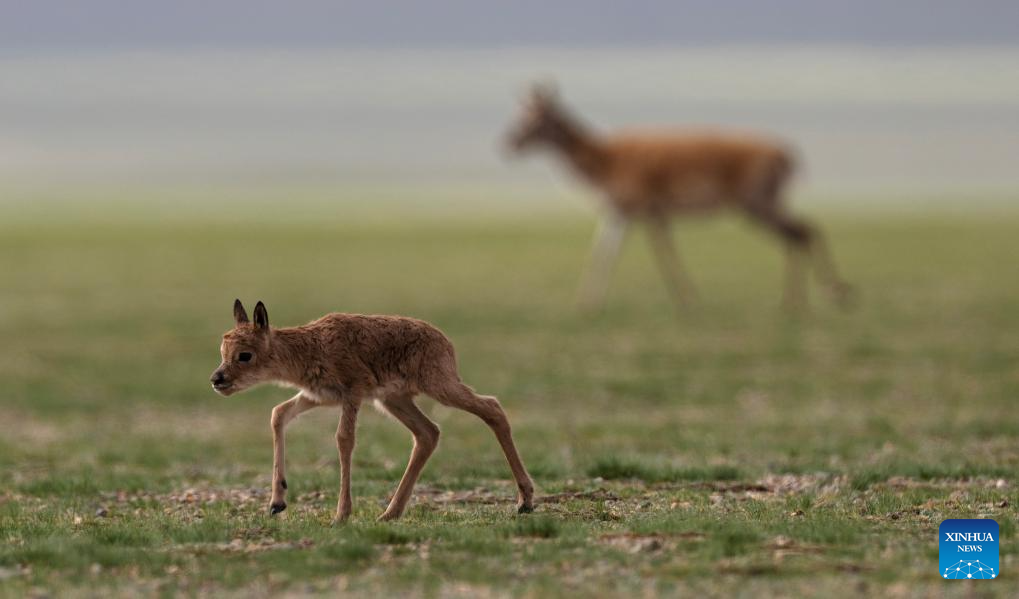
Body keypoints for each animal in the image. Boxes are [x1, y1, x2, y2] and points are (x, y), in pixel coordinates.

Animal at [210, 301, 538, 521]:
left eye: (245, 355)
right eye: (222, 352)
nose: (217, 379)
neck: (310, 347)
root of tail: (446, 343)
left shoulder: (353, 392)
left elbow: (344, 439)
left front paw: (341, 515)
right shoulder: (317, 396)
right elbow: (278, 414)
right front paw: (277, 502)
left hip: (439, 386)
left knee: (492, 408)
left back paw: (525, 500)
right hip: (394, 399)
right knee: (428, 433)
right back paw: (390, 513)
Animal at [507, 85, 851, 313]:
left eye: (536, 118)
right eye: (522, 114)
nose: (509, 142)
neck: (604, 157)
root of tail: (786, 152)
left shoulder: (642, 211)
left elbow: (658, 254)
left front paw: (686, 299)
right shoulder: (627, 213)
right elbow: (606, 253)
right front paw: (587, 302)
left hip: (755, 204)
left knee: (801, 231)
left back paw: (826, 295)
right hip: (761, 205)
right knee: (802, 230)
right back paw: (800, 300)